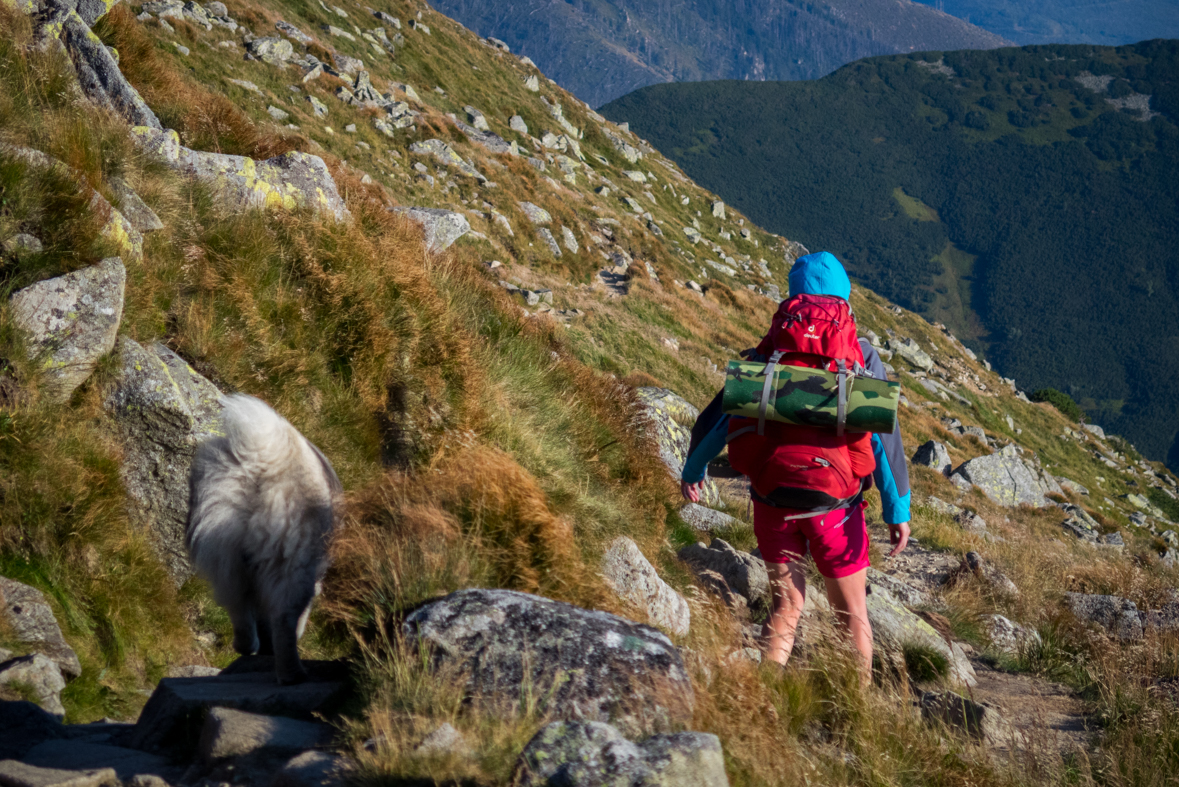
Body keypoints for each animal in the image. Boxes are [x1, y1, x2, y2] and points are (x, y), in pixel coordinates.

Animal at [185, 395, 341, 683]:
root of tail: (266, 459)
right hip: (291, 557)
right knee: (283, 616)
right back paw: (292, 674)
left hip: (222, 533)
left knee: (234, 596)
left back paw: (246, 645)